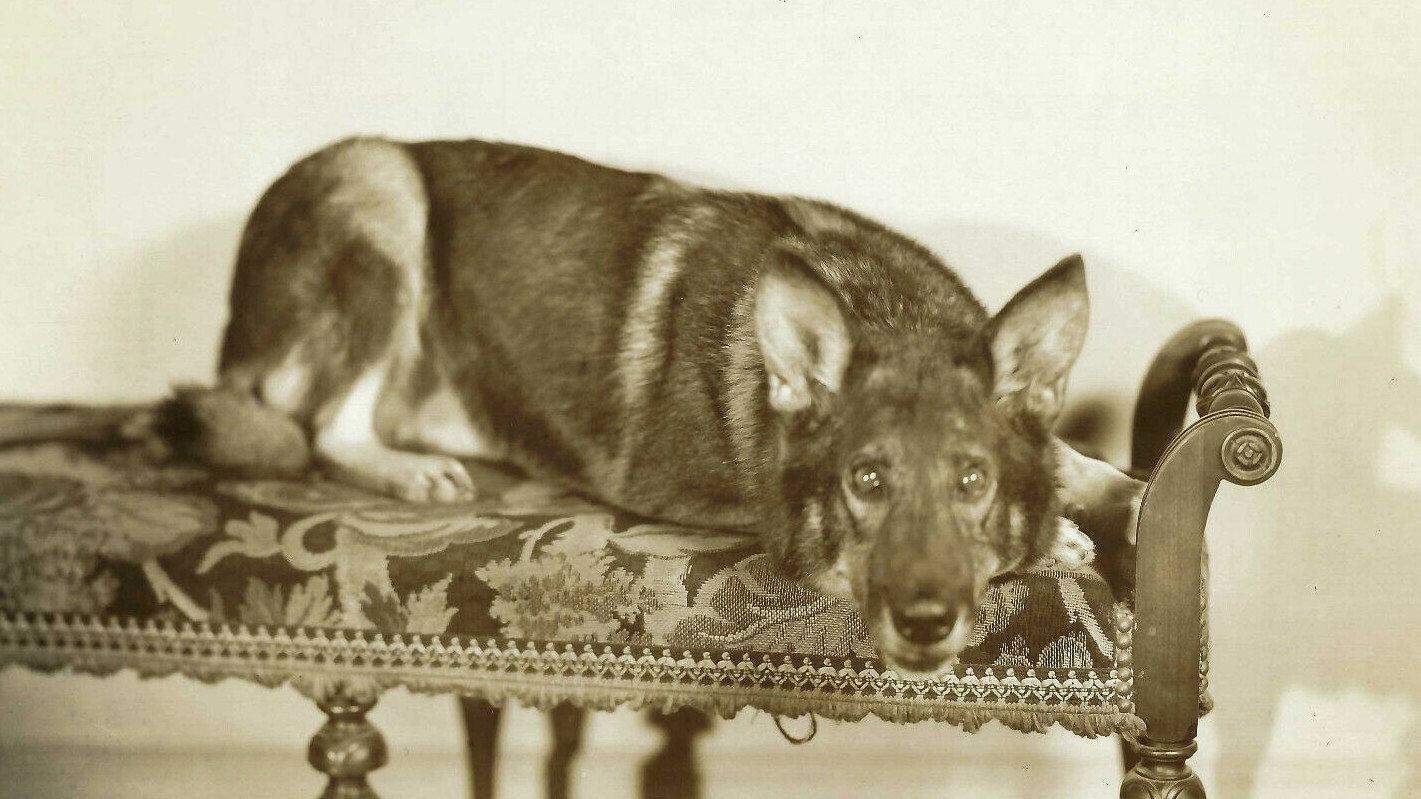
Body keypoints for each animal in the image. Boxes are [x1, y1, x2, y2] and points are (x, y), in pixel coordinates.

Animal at [121, 137, 1142, 675]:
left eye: (972, 479)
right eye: (866, 482)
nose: (926, 623)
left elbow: (1084, 464)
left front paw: (1118, 499)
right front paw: (1058, 539)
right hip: (383, 189)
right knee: (319, 426)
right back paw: (406, 471)